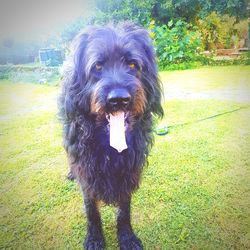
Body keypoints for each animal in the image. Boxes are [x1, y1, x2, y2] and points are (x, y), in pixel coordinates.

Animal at [58, 22, 164, 249]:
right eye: (98, 66)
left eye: (132, 64)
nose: (119, 99)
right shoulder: (86, 167)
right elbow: (91, 208)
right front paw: (95, 237)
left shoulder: (129, 167)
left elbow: (124, 208)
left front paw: (127, 236)